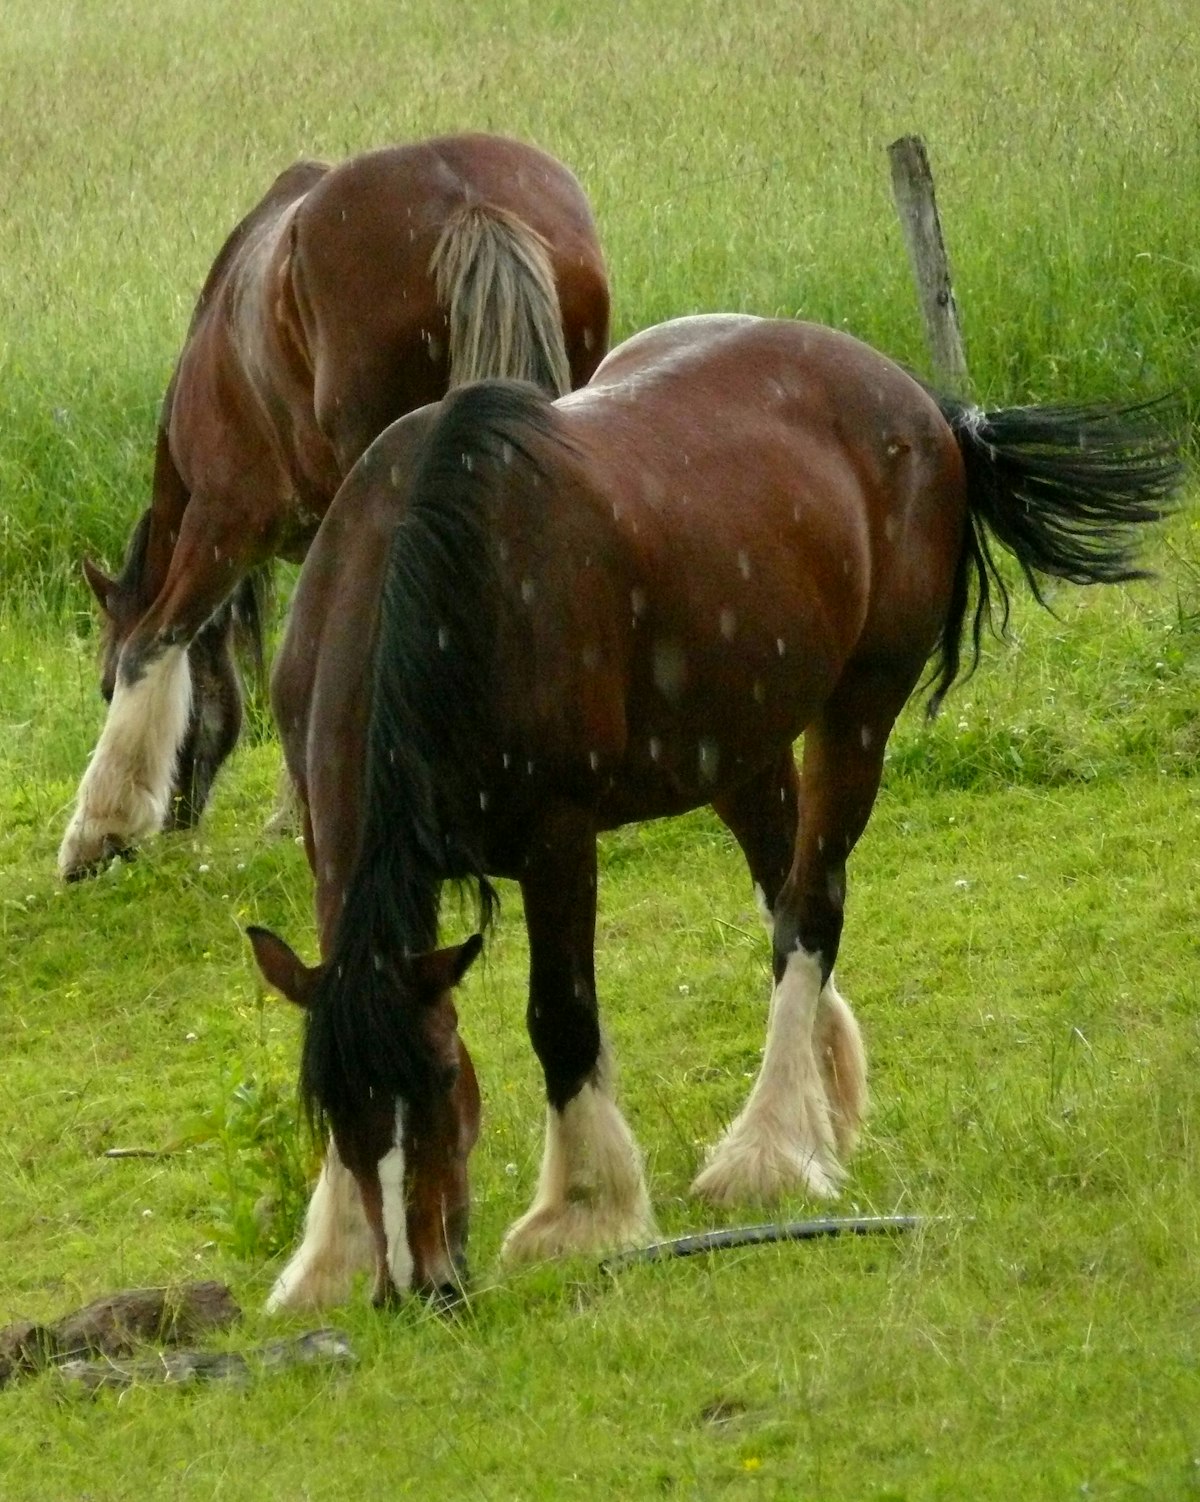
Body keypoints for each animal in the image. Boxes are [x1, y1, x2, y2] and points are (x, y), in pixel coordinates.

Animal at [59, 133, 610, 881]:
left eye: (103, 686)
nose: (178, 823)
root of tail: (469, 199)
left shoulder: (223, 524)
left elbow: (156, 640)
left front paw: (100, 827)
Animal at [246, 313, 1179, 1310]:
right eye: (332, 1108)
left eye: (443, 1080)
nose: (418, 1286)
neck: (445, 584)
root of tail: (926, 405)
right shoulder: (327, 848)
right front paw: (333, 1253)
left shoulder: (557, 839)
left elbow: (560, 1017)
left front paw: (583, 1213)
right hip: (742, 751)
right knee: (786, 902)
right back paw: (819, 1111)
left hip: (858, 711)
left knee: (811, 914)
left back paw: (768, 1151)